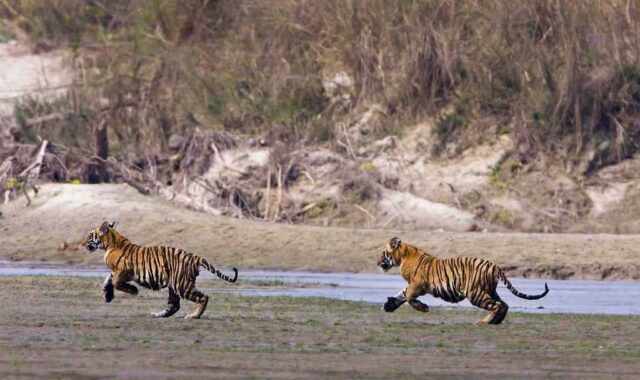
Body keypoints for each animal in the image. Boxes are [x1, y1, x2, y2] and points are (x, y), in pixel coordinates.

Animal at [81, 221, 239, 320]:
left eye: (89, 235)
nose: (82, 244)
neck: (110, 243)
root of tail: (195, 257)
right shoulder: (118, 272)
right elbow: (108, 279)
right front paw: (108, 295)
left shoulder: (123, 271)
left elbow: (114, 281)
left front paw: (133, 290)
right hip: (174, 286)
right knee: (173, 306)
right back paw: (156, 315)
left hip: (181, 285)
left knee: (203, 297)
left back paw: (193, 316)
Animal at [378, 238, 548, 324]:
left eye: (383, 253)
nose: (378, 263)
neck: (403, 256)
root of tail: (494, 266)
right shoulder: (413, 285)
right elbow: (402, 295)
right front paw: (388, 305)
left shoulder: (417, 284)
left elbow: (408, 297)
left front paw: (423, 308)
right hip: (489, 290)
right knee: (504, 305)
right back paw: (495, 322)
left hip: (475, 293)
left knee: (497, 305)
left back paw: (483, 322)